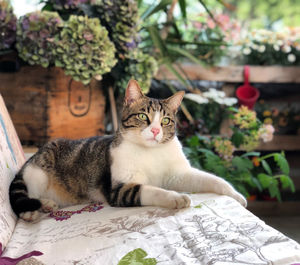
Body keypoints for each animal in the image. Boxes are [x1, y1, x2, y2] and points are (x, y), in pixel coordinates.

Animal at [9, 79, 246, 221]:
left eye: (166, 120)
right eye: (143, 116)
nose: (155, 130)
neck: (152, 153)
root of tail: (31, 159)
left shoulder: (179, 174)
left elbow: (214, 180)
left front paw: (236, 195)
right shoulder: (120, 188)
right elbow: (152, 190)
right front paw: (176, 198)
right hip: (38, 175)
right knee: (27, 195)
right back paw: (36, 209)